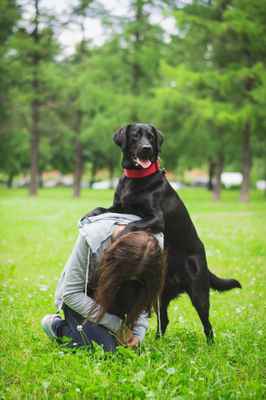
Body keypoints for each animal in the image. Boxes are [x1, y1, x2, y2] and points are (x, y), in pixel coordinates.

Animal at [85, 123, 241, 342]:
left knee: (207, 324)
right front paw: (90, 214)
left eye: (151, 137)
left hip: (199, 293)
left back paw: (210, 345)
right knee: (164, 320)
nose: (146, 149)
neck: (137, 179)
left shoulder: (156, 219)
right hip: (159, 294)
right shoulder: (119, 206)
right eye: (135, 136)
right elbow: (101, 208)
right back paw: (157, 342)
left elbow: (131, 226)